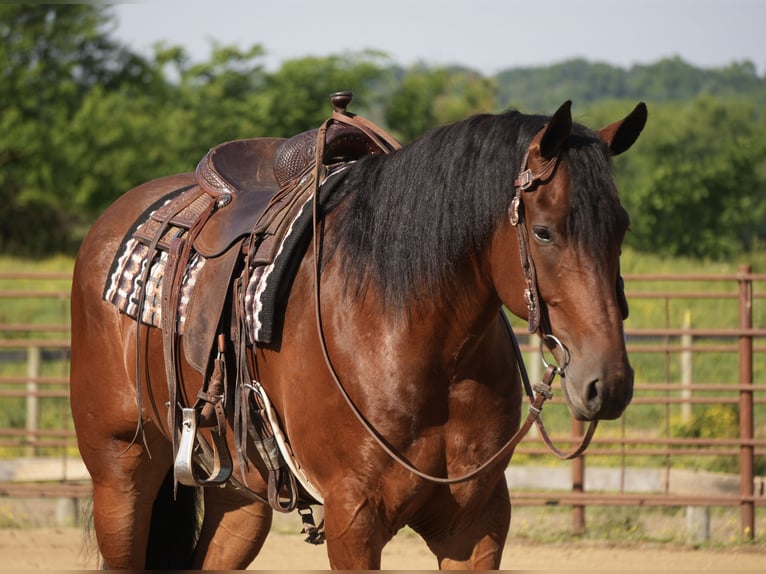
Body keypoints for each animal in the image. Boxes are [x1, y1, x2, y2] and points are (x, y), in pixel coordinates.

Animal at [70, 98, 646, 569]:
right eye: (544, 232)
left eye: (621, 227)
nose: (608, 382)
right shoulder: (354, 519)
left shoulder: (475, 523)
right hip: (121, 474)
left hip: (239, 494)